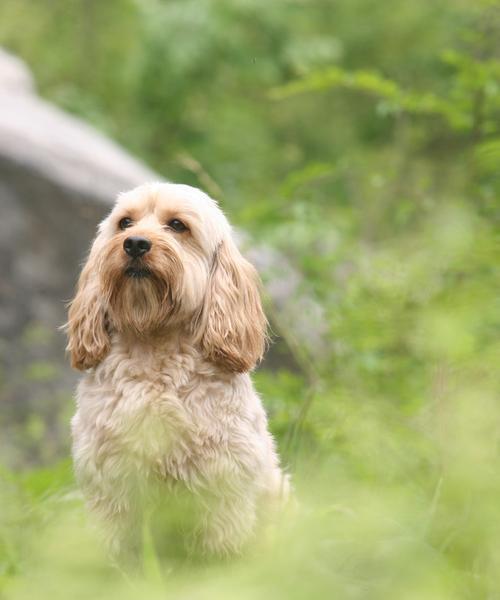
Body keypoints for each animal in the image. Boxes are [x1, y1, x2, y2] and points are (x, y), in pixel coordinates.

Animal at [65, 183, 290, 556]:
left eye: (177, 225)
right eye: (125, 223)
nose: (135, 243)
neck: (155, 345)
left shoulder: (221, 485)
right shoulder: (110, 484)